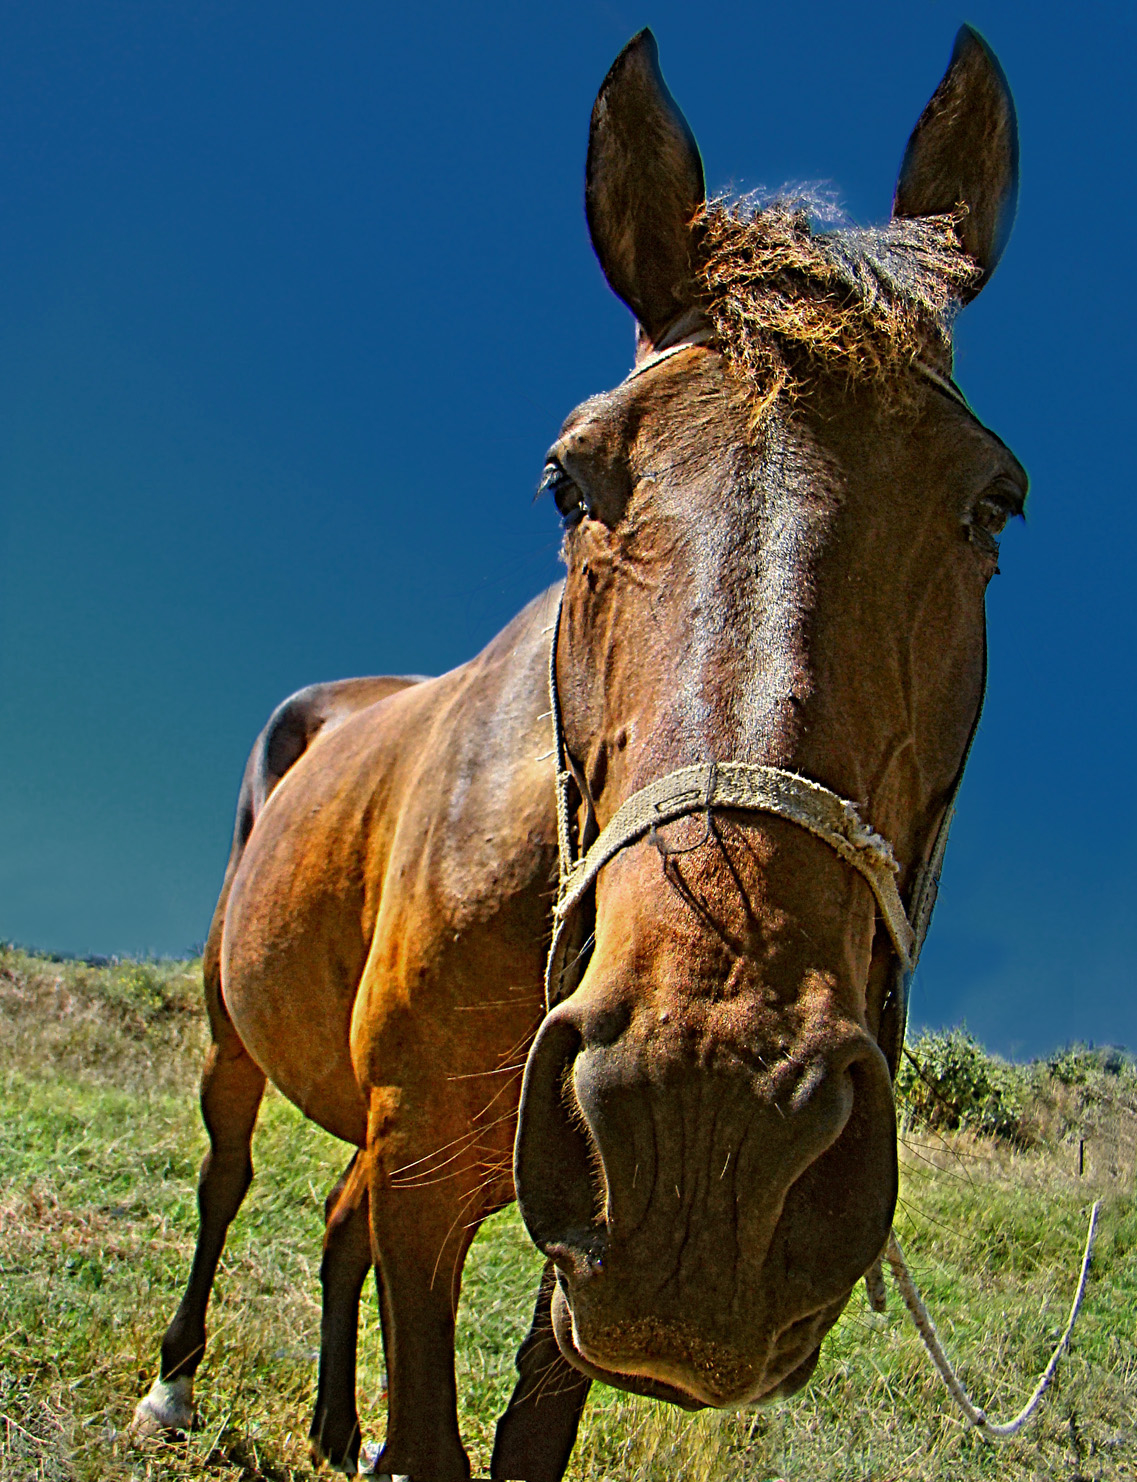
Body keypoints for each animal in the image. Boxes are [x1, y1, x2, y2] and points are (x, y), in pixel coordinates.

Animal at [131, 26, 1019, 1482]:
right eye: (571, 479)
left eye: (993, 502)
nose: (711, 1115)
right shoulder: (426, 1168)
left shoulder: (574, 1256)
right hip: (233, 1035)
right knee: (228, 1177)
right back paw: (176, 1384)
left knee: (329, 1220)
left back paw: (331, 1423)